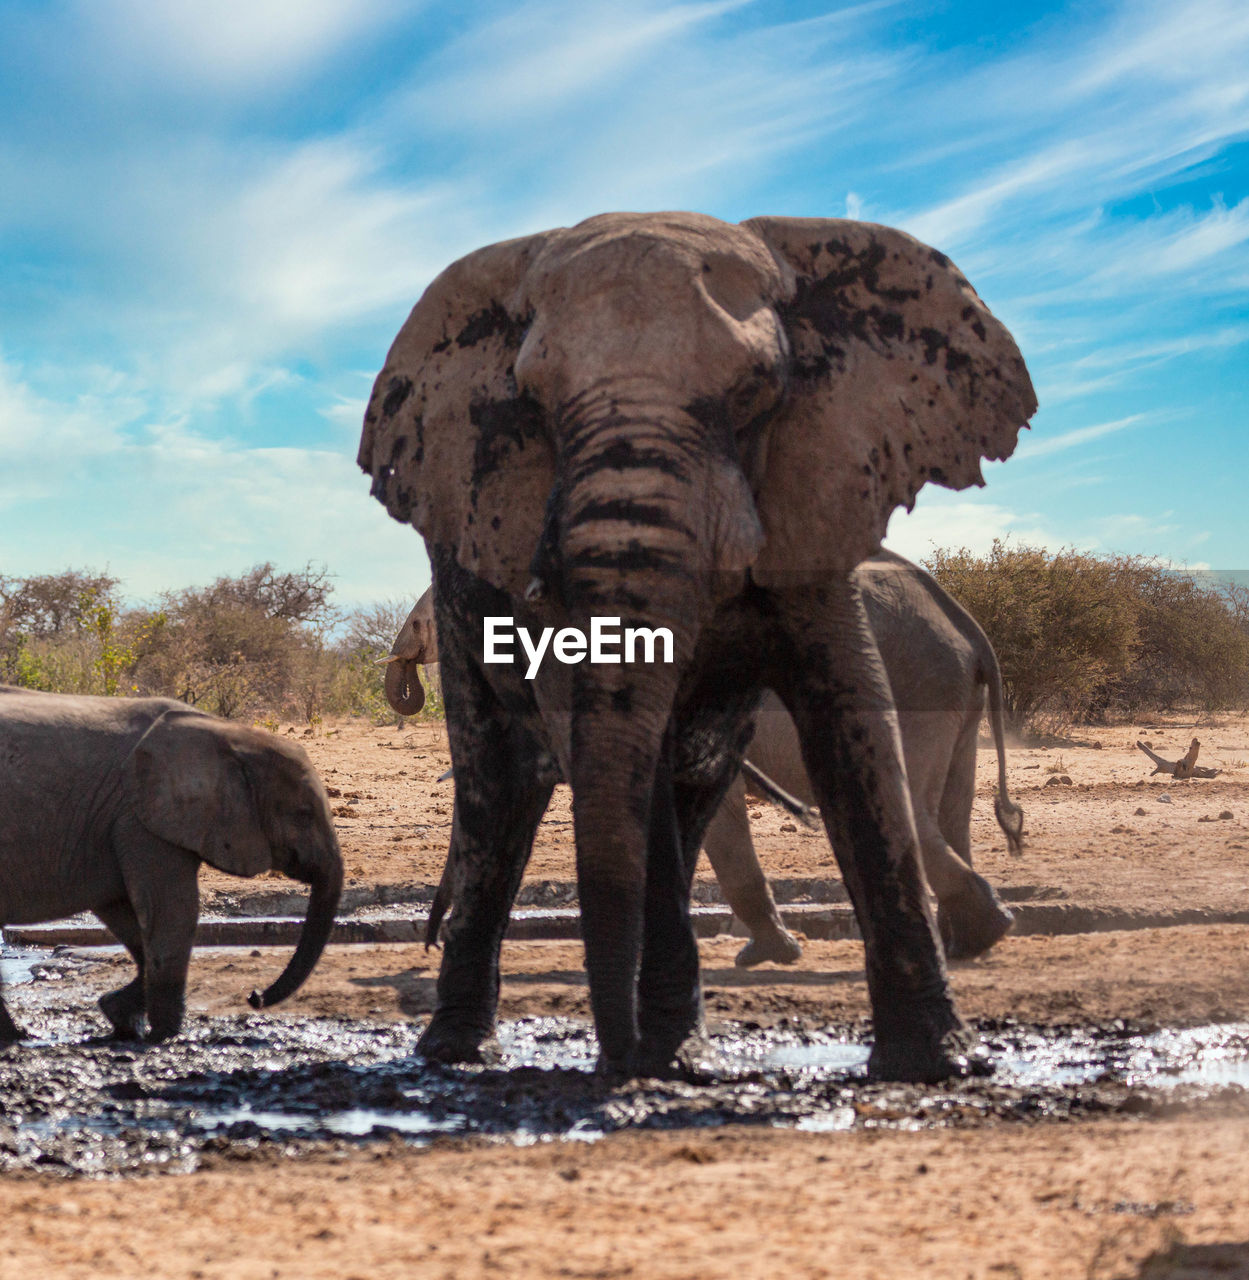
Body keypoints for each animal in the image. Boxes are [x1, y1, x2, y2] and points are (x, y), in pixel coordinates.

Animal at [0, 691, 342, 1039]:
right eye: (303, 815)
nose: (254, 995)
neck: (228, 735)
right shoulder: (142, 821)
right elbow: (173, 912)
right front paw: (164, 1036)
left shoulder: (114, 824)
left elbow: (131, 919)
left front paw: (121, 1018)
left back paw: (16, 1037)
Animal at [358, 212, 1034, 1080]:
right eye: (530, 403)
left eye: (753, 394)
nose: (615, 1063)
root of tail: (965, 624)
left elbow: (845, 735)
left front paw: (928, 1062)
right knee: (502, 783)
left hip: (932, 673)